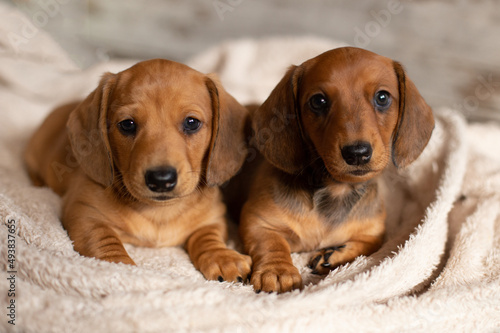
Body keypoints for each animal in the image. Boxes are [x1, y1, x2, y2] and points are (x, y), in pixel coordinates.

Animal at [23, 59, 252, 280]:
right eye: (127, 124)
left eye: (192, 122)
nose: (161, 179)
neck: (159, 212)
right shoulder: (83, 212)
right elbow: (103, 239)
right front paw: (119, 267)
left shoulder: (213, 218)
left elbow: (207, 237)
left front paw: (223, 258)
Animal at [240, 47, 436, 294]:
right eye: (318, 101)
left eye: (382, 97)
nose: (357, 153)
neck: (335, 190)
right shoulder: (257, 220)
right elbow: (270, 242)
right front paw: (277, 271)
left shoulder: (374, 231)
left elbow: (370, 244)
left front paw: (335, 255)